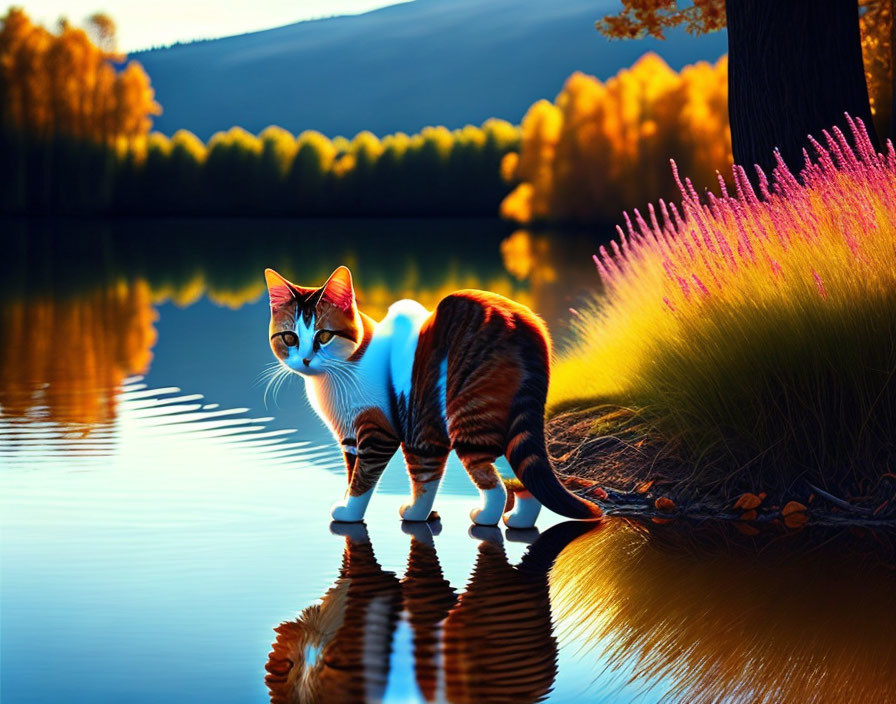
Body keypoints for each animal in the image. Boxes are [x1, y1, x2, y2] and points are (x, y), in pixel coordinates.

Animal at [266, 266, 600, 524]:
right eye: (290, 338)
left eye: (323, 336)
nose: (305, 359)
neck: (334, 379)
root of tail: (526, 320)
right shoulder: (378, 437)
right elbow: (419, 477)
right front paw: (418, 513)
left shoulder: (380, 433)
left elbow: (363, 478)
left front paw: (351, 513)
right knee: (524, 476)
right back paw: (519, 520)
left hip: (468, 414)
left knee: (495, 484)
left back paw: (486, 517)